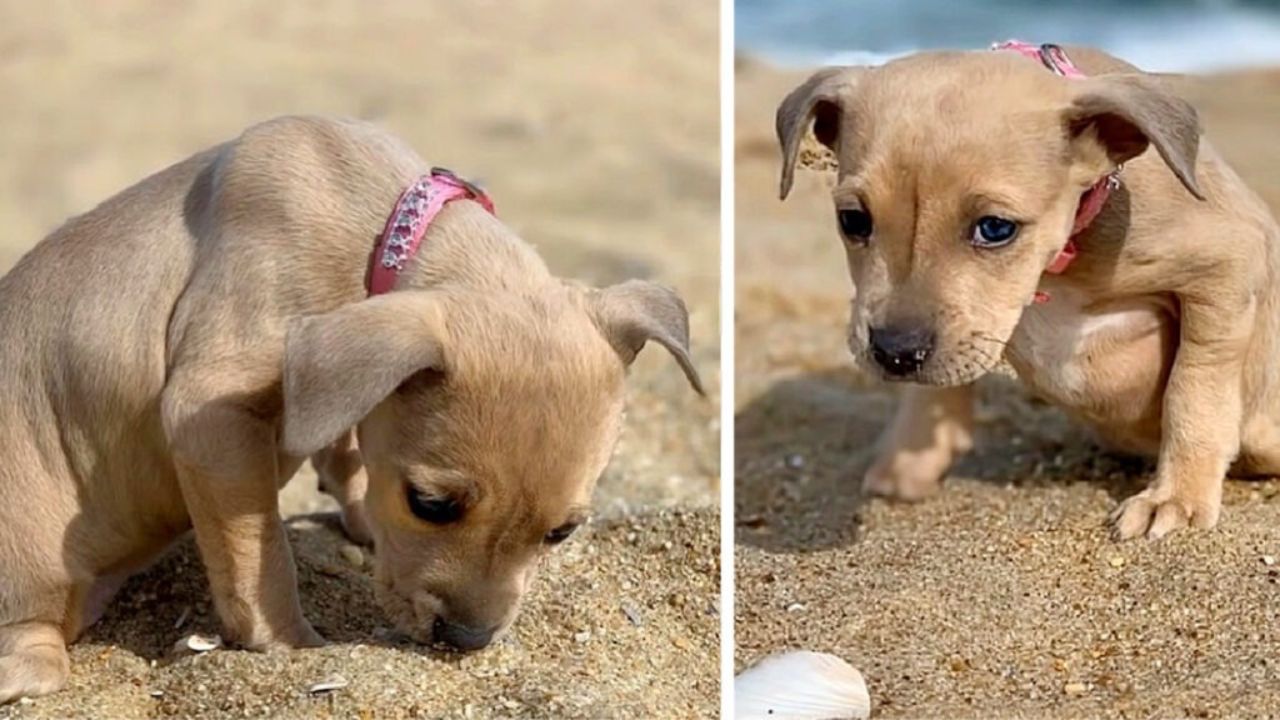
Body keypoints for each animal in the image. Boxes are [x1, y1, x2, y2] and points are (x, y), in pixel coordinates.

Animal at [0, 114, 701, 696]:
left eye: (563, 532)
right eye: (431, 505)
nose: (467, 642)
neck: (384, 231)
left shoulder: (329, 389)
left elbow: (346, 452)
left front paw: (360, 519)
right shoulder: (210, 411)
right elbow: (259, 554)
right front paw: (291, 646)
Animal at [773, 49, 1280, 538]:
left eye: (996, 228)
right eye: (853, 220)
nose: (896, 353)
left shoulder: (1227, 267)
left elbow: (1195, 387)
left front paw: (1175, 497)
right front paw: (911, 455)